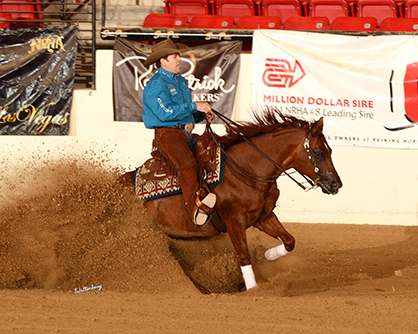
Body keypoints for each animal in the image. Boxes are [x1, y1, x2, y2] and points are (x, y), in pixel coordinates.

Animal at [121, 111, 342, 290]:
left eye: (330, 150)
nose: (336, 184)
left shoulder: (262, 216)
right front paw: (253, 289)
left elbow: (289, 242)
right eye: (318, 152)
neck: (247, 170)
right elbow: (244, 256)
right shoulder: (233, 220)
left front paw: (266, 255)